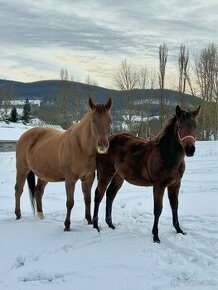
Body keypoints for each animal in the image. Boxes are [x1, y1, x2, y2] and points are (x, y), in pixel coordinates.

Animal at [14, 97, 112, 231]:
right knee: (18, 189)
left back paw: (41, 215)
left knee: (38, 191)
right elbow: (70, 202)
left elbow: (87, 199)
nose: (102, 145)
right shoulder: (70, 179)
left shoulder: (88, 178)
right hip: (22, 169)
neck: (81, 147)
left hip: (44, 174)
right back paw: (18, 215)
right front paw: (67, 226)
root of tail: (24, 135)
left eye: (109, 121)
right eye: (93, 120)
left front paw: (89, 221)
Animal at [93, 104, 200, 242]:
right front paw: (155, 236)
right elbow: (158, 209)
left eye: (195, 125)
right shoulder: (159, 186)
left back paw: (110, 224)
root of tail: (104, 143)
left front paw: (179, 230)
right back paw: (96, 225)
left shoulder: (175, 184)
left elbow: (174, 206)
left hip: (118, 176)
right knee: (98, 195)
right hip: (105, 174)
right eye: (180, 126)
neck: (166, 154)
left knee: (110, 195)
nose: (190, 149)